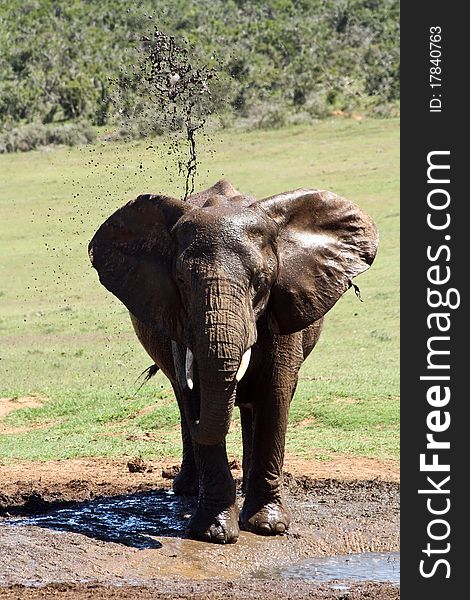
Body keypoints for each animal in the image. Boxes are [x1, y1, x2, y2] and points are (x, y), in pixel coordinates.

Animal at [89, 178, 378, 544]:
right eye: (181, 281)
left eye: (260, 281)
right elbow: (197, 391)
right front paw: (214, 533)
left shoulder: (283, 301)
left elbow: (276, 393)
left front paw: (269, 526)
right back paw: (187, 488)